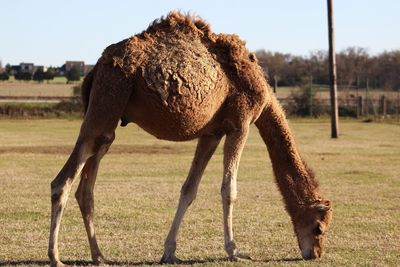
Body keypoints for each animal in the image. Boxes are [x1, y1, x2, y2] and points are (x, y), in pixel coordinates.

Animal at [48, 12, 332, 267]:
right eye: (319, 228)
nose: (314, 253)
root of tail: (95, 69)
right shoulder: (240, 123)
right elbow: (229, 189)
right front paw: (235, 251)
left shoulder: (211, 133)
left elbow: (189, 189)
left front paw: (169, 252)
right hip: (108, 99)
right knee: (62, 181)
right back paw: (56, 258)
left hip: (107, 116)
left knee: (86, 186)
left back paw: (99, 256)